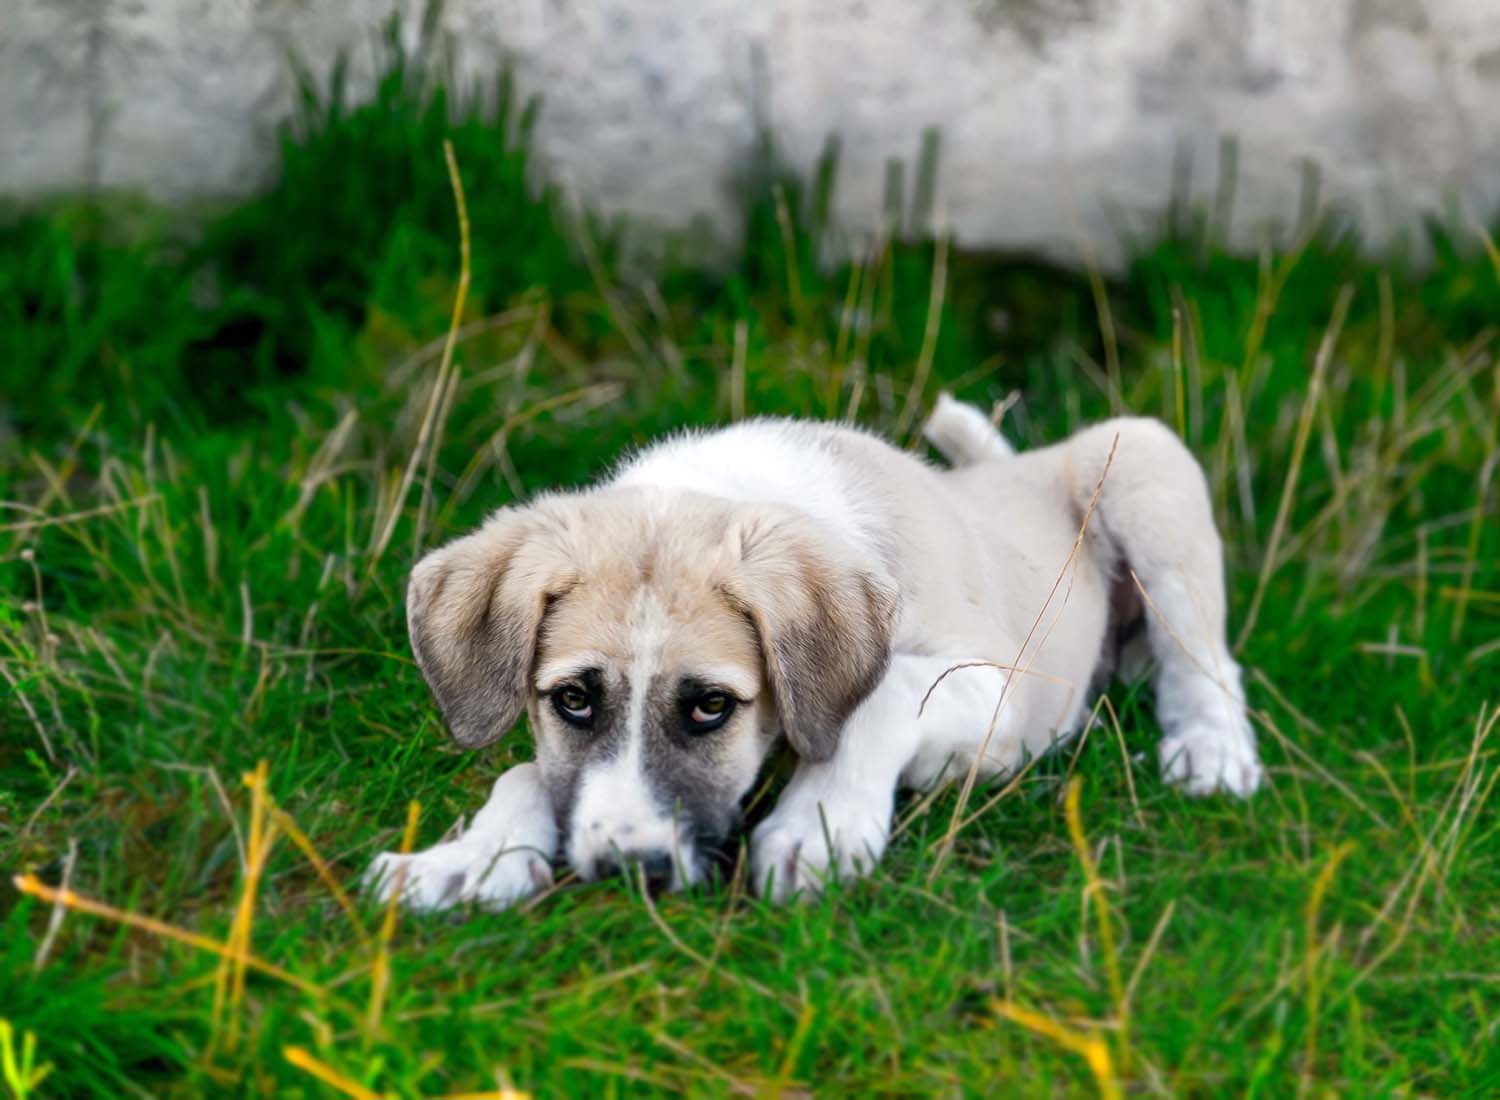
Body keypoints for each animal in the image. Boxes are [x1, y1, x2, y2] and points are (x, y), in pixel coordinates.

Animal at [369, 396, 1260, 912]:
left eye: (712, 706)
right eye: (573, 700)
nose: (631, 871)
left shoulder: (999, 692)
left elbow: (881, 697)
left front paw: (818, 826)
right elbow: (528, 774)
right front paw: (469, 859)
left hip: (1142, 462)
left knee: (1206, 656)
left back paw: (1211, 750)